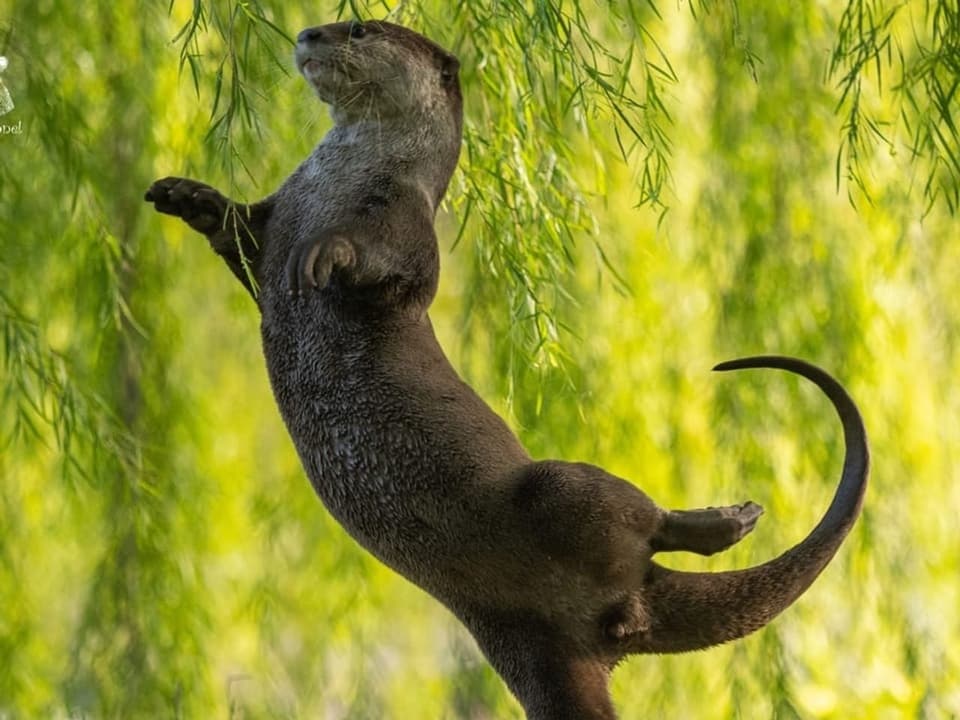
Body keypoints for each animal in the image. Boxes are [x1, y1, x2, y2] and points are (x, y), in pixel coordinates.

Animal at [144, 21, 872, 720]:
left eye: (356, 29)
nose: (307, 35)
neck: (337, 180)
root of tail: (628, 608)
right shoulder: (276, 215)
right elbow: (237, 233)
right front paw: (186, 194)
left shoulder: (406, 226)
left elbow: (382, 264)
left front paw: (326, 253)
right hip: (524, 645)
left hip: (557, 490)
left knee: (641, 519)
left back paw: (730, 519)